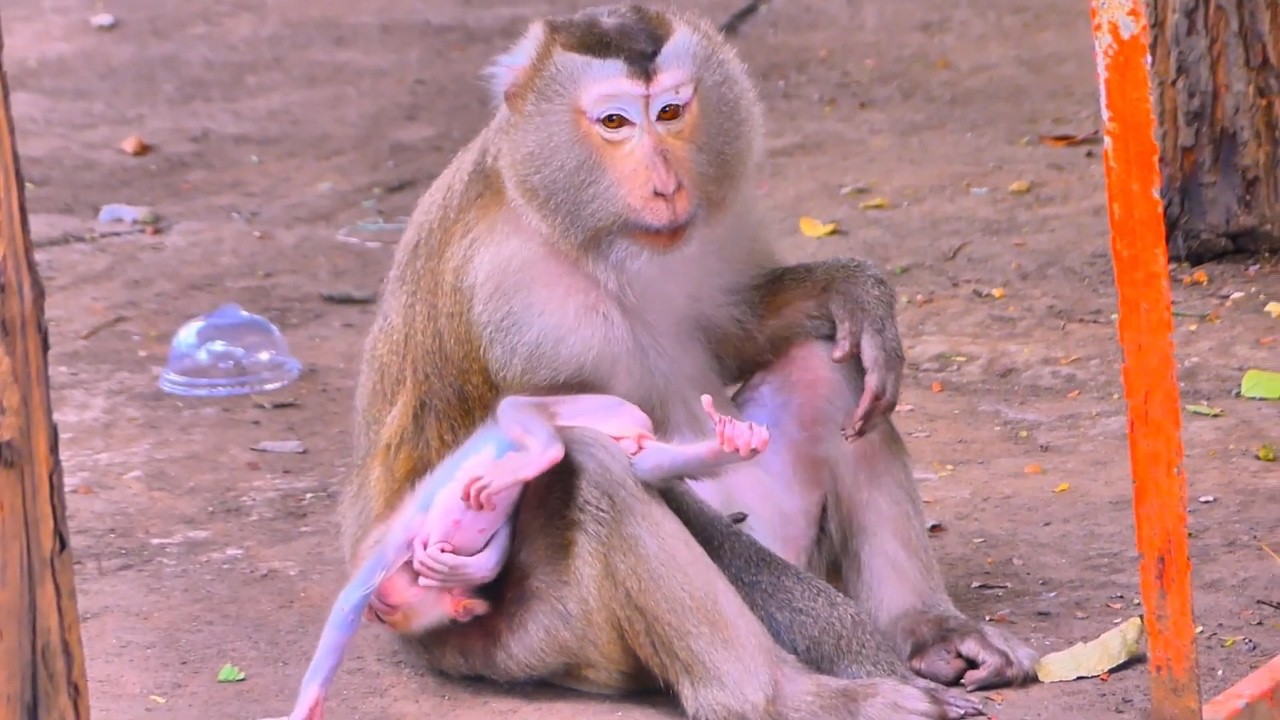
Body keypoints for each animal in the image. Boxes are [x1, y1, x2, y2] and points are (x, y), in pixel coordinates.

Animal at [338, 4, 1040, 719]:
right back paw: (799, 697)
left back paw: (927, 628)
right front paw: (859, 652)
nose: (667, 184)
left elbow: (735, 331)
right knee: (594, 467)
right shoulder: (518, 306)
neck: (577, 229)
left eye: (671, 112)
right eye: (615, 122)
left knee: (828, 368)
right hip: (535, 640)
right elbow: (624, 463)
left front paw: (853, 292)